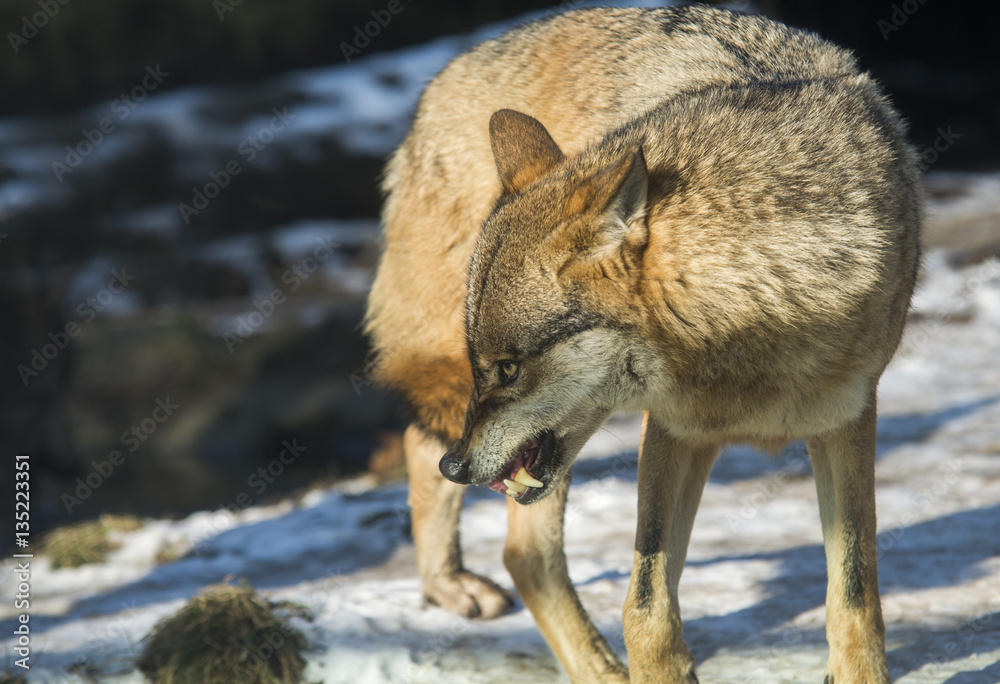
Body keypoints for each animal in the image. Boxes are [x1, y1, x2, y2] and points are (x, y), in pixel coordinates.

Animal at [365, 5, 921, 682]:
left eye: (509, 369)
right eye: (490, 366)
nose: (460, 467)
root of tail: (441, 81)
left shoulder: (846, 421)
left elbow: (856, 597)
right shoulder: (673, 431)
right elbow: (646, 608)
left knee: (446, 471)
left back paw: (450, 584)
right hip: (479, 408)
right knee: (516, 543)